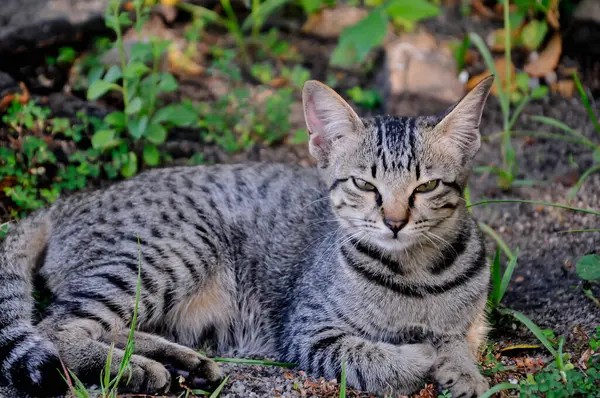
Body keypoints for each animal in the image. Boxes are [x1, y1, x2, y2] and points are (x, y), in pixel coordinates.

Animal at [0, 76, 492, 396]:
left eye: (426, 186)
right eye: (364, 185)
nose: (394, 222)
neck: (416, 274)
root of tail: (73, 200)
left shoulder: (468, 325)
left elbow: (457, 345)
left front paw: (465, 374)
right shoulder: (309, 332)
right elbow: (374, 357)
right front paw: (420, 357)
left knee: (110, 327)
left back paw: (178, 362)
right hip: (172, 250)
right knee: (58, 328)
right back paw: (135, 370)